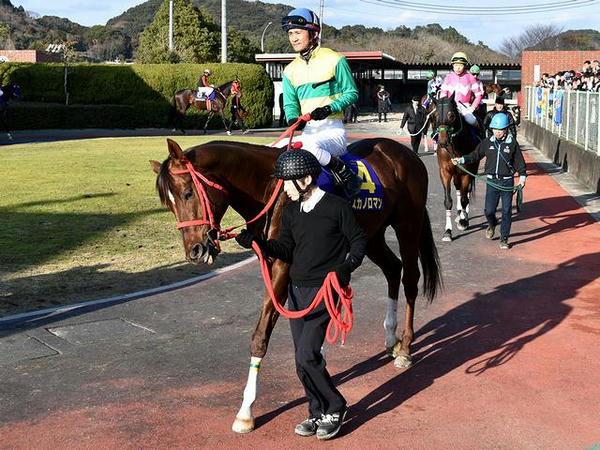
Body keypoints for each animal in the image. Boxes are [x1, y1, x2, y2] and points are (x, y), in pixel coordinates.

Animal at [150, 136, 440, 432]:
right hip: (372, 234)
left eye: (188, 193)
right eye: (169, 204)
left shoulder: (283, 267)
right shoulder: (274, 262)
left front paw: (246, 411)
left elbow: (261, 335)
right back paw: (391, 338)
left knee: (410, 279)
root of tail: (403, 151)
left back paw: (405, 347)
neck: (271, 190)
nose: (194, 251)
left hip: (408, 224)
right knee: (392, 269)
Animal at [432, 94, 478, 243]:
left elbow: (464, 199)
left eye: (451, 115)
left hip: (471, 171)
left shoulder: (466, 172)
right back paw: (459, 214)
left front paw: (463, 221)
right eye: (435, 116)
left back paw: (464, 216)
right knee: (458, 189)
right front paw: (447, 231)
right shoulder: (445, 172)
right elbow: (448, 201)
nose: (442, 142)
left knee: (466, 193)